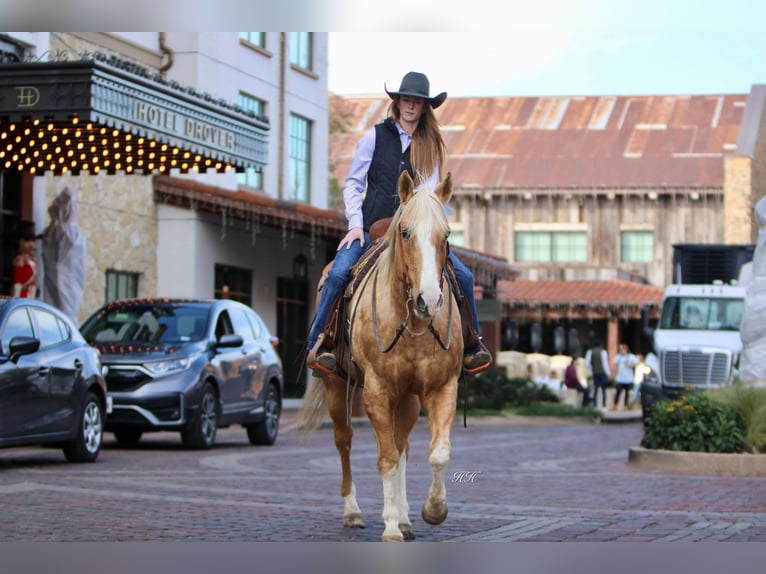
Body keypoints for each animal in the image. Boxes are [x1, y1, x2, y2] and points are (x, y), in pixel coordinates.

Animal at [300, 172, 462, 544]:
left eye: (446, 235)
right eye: (405, 232)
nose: (429, 300)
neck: (412, 323)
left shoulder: (442, 388)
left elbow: (437, 453)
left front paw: (432, 511)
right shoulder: (376, 391)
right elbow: (385, 457)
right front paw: (389, 527)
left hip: (407, 398)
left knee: (402, 448)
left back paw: (404, 518)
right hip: (335, 387)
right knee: (345, 441)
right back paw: (353, 512)